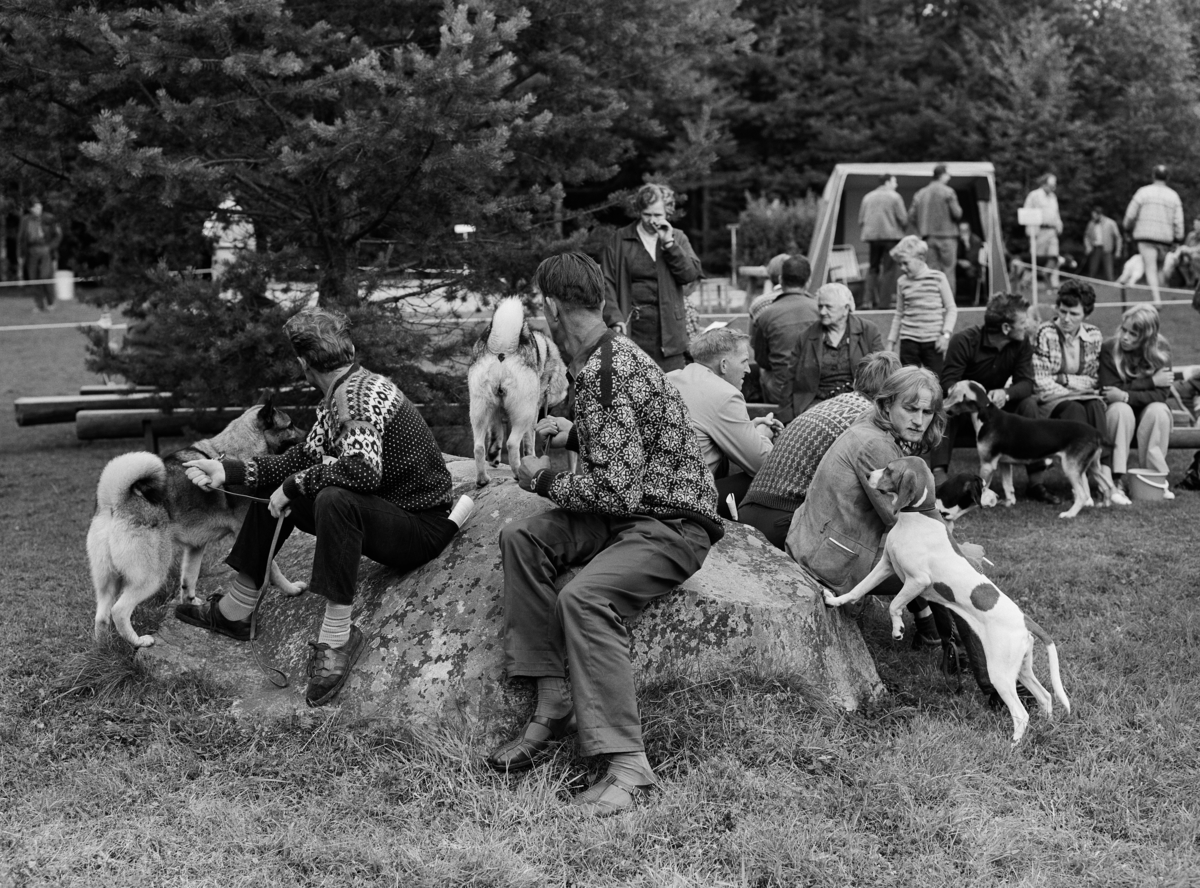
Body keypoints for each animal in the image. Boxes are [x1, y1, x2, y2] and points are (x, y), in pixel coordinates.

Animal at [89, 400, 304, 643]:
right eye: (290, 425)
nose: (307, 435)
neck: (235, 451)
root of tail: (115, 501)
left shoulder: (195, 547)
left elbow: (188, 579)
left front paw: (191, 604)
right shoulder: (251, 535)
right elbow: (273, 569)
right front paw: (292, 589)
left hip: (107, 581)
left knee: (102, 616)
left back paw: (104, 646)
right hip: (152, 575)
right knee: (119, 610)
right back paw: (138, 641)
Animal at [465, 296, 568, 484]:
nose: (545, 415)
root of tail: (503, 350)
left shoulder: (495, 411)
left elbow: (496, 433)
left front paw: (494, 457)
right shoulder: (533, 413)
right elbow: (529, 443)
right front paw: (531, 458)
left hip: (479, 410)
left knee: (478, 447)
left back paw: (483, 478)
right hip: (524, 413)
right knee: (512, 443)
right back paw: (519, 472)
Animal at [825, 453, 1070, 744]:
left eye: (890, 469)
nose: (868, 475)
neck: (917, 517)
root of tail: (1024, 619)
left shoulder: (917, 581)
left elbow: (895, 605)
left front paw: (897, 628)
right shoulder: (885, 566)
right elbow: (858, 588)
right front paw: (836, 601)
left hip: (1000, 673)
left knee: (1021, 713)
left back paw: (1013, 745)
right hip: (1021, 668)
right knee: (1045, 697)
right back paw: (1046, 729)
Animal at [940, 379, 1108, 516]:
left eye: (949, 393)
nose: (941, 405)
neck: (986, 415)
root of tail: (1096, 432)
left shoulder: (987, 464)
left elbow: (985, 487)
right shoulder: (1004, 463)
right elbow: (1008, 485)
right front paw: (1008, 503)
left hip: (1071, 468)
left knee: (1083, 495)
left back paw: (1069, 514)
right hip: (1092, 466)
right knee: (1107, 485)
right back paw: (1105, 504)